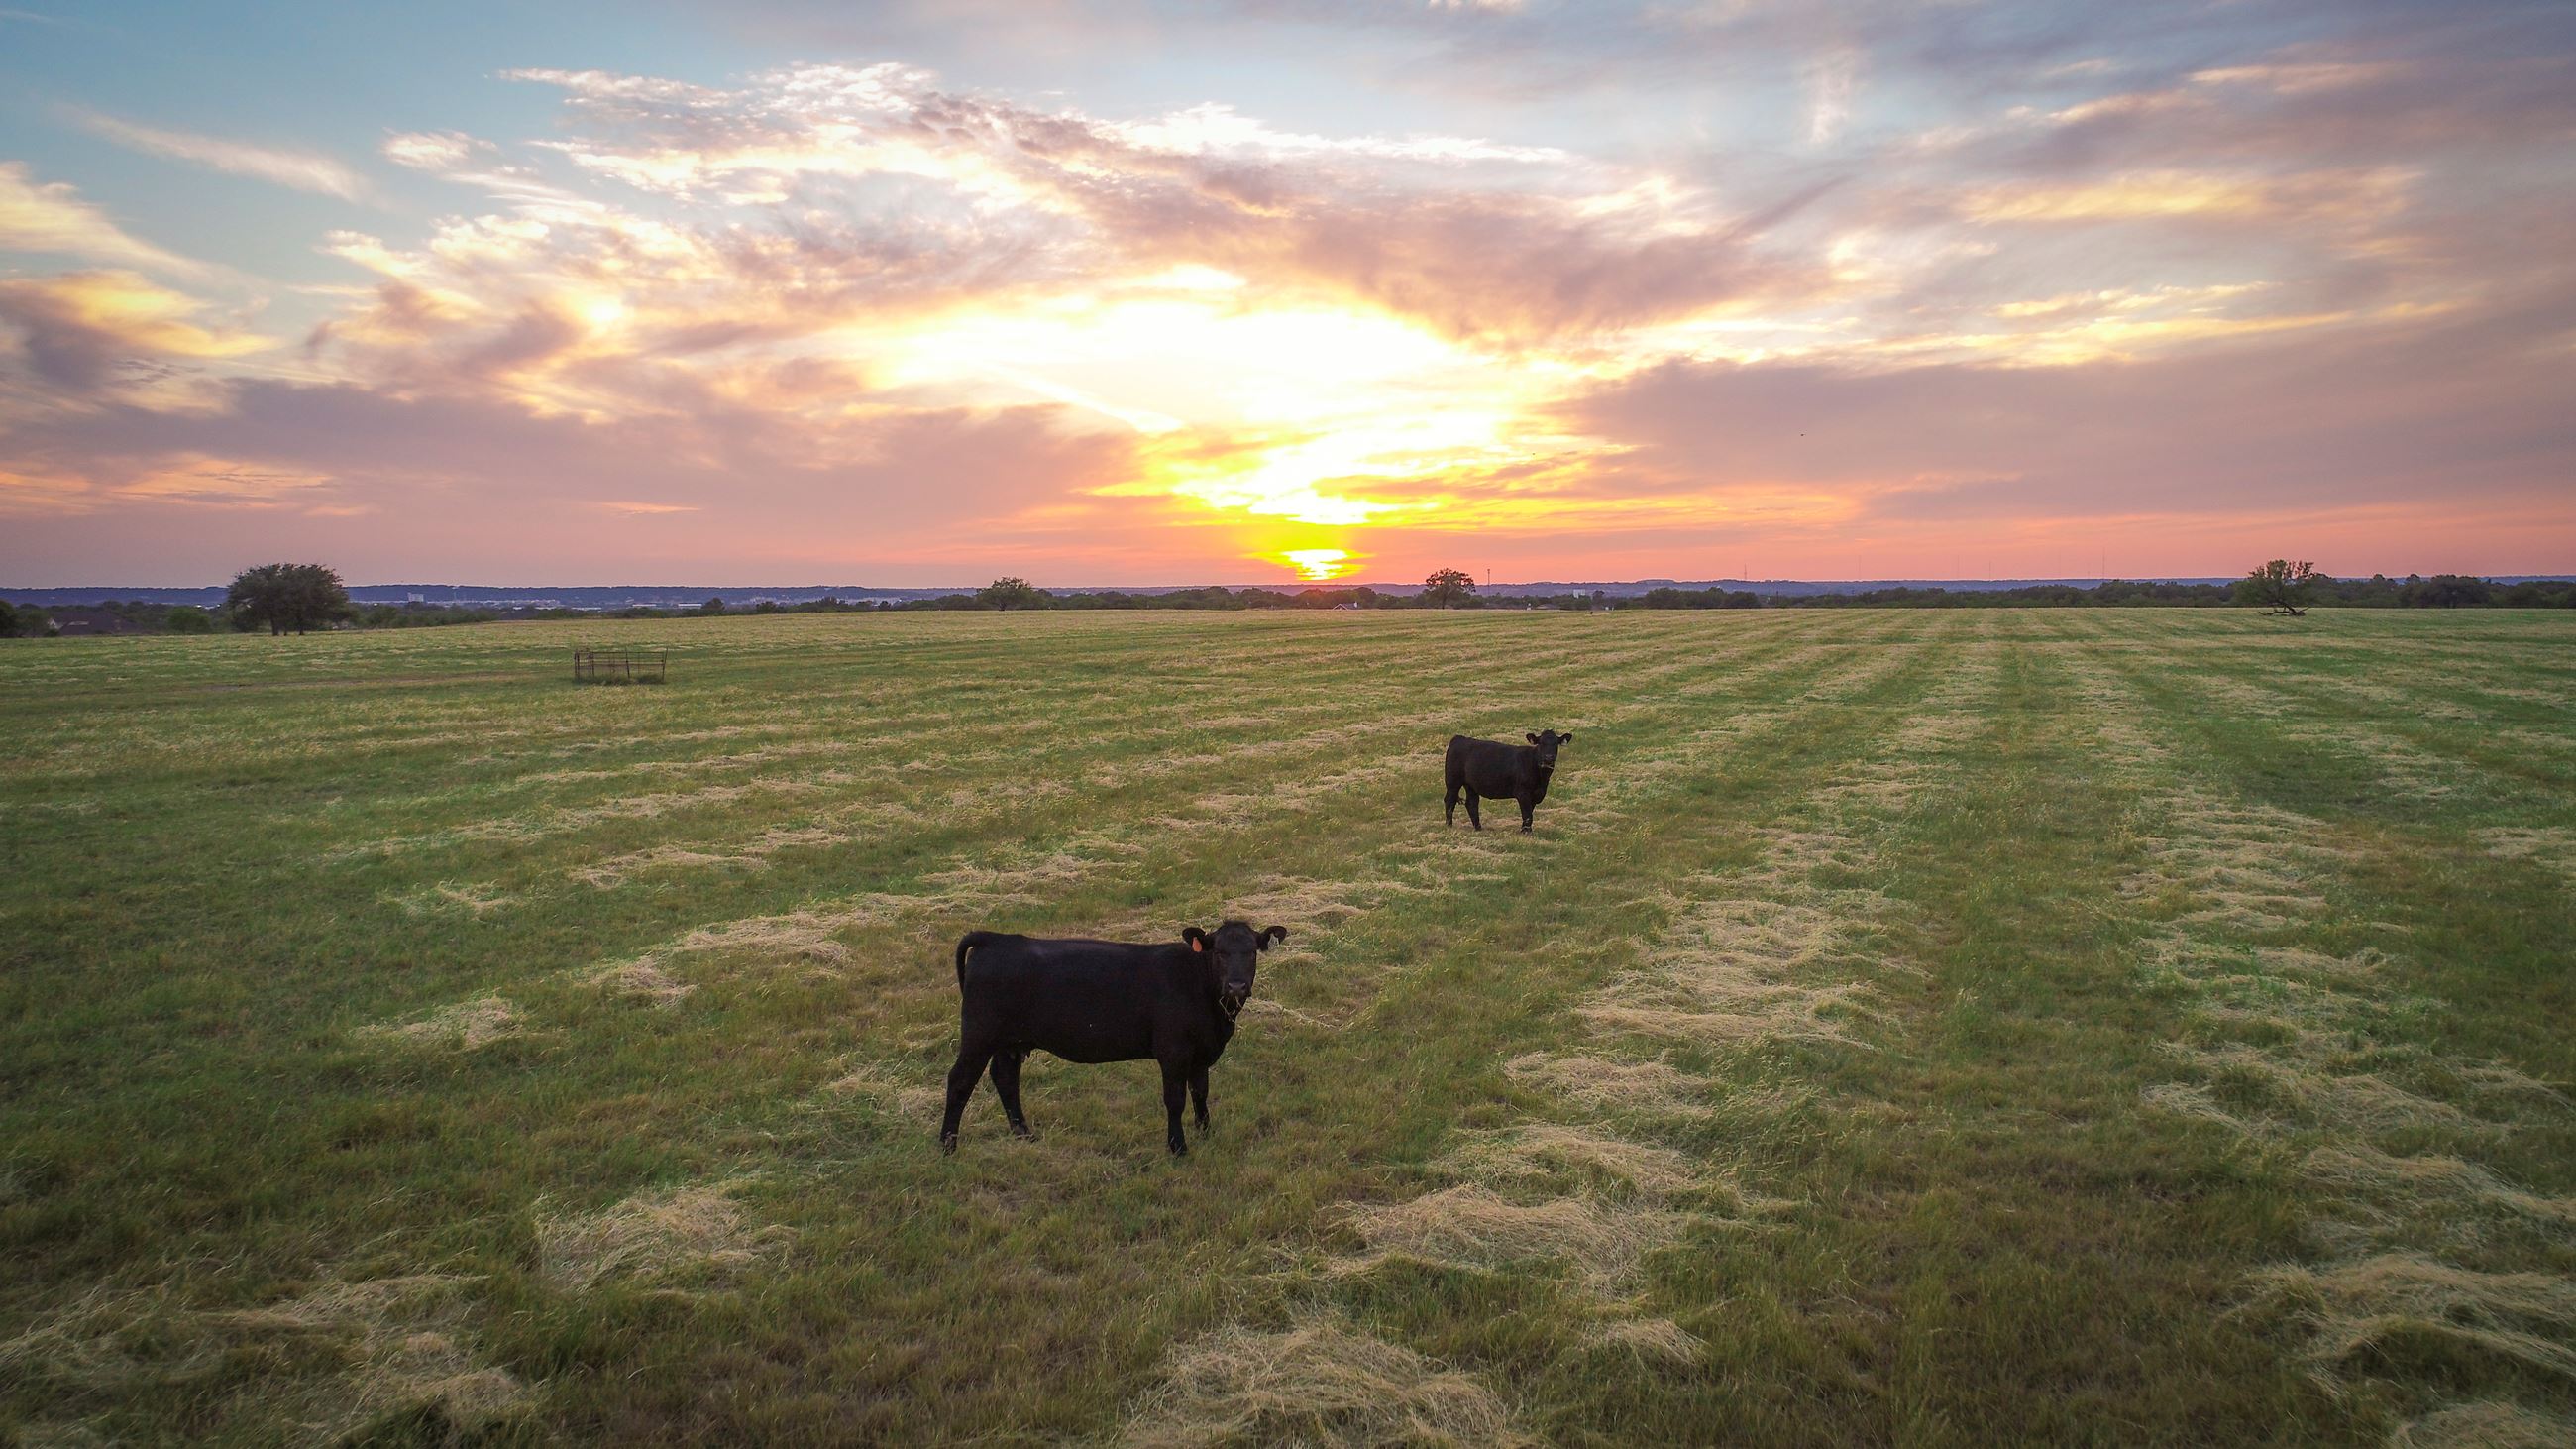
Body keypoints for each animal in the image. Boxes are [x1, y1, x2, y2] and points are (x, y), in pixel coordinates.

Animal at [941, 919, 1287, 1156]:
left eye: (1252, 952)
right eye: (1219, 953)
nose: (1236, 986)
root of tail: (995, 939)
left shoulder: (1201, 1052)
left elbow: (1200, 1092)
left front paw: (1205, 1133)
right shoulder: (1173, 1051)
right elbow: (1175, 1100)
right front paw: (1178, 1147)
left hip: (1010, 1042)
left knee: (1005, 1079)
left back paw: (1024, 1134)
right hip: (979, 1035)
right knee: (960, 1081)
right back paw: (947, 1146)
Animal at [1444, 730, 1574, 833]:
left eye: (1555, 744)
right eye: (1540, 743)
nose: (1548, 757)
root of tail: (1459, 738)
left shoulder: (1535, 795)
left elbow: (1529, 813)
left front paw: (1525, 830)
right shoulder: (1522, 793)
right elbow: (1527, 814)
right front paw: (1526, 832)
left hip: (1471, 785)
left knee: (1472, 803)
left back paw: (1478, 828)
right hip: (1452, 781)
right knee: (1449, 800)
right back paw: (1449, 825)